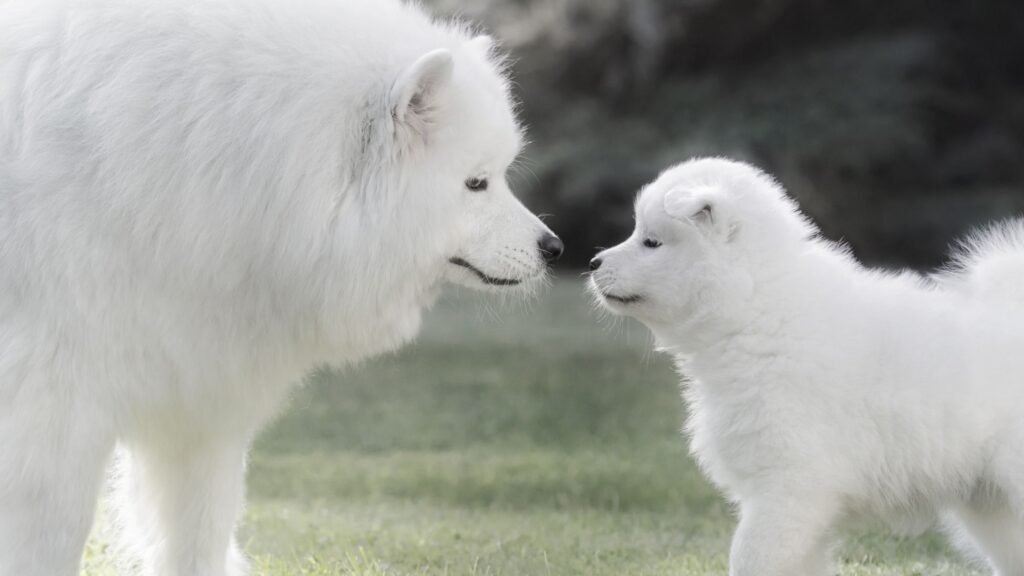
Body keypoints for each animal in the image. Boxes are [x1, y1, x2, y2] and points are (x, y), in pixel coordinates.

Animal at [0, 2, 565, 569]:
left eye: (498, 176)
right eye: (476, 183)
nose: (554, 248)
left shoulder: (197, 400)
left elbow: (199, 530)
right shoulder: (53, 406)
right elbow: (51, 537)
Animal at [589, 156, 1024, 573]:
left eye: (651, 242)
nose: (593, 262)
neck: (757, 309)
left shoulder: (789, 487)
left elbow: (750, 557)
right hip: (991, 505)